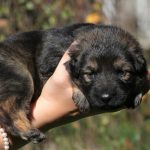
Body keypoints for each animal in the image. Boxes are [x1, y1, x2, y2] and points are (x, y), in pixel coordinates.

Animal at [0, 23, 149, 143]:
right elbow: (69, 75)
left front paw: (137, 92)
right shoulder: (50, 66)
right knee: (7, 107)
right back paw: (28, 131)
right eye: (90, 74)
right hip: (21, 76)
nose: (106, 98)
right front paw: (80, 95)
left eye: (123, 73)